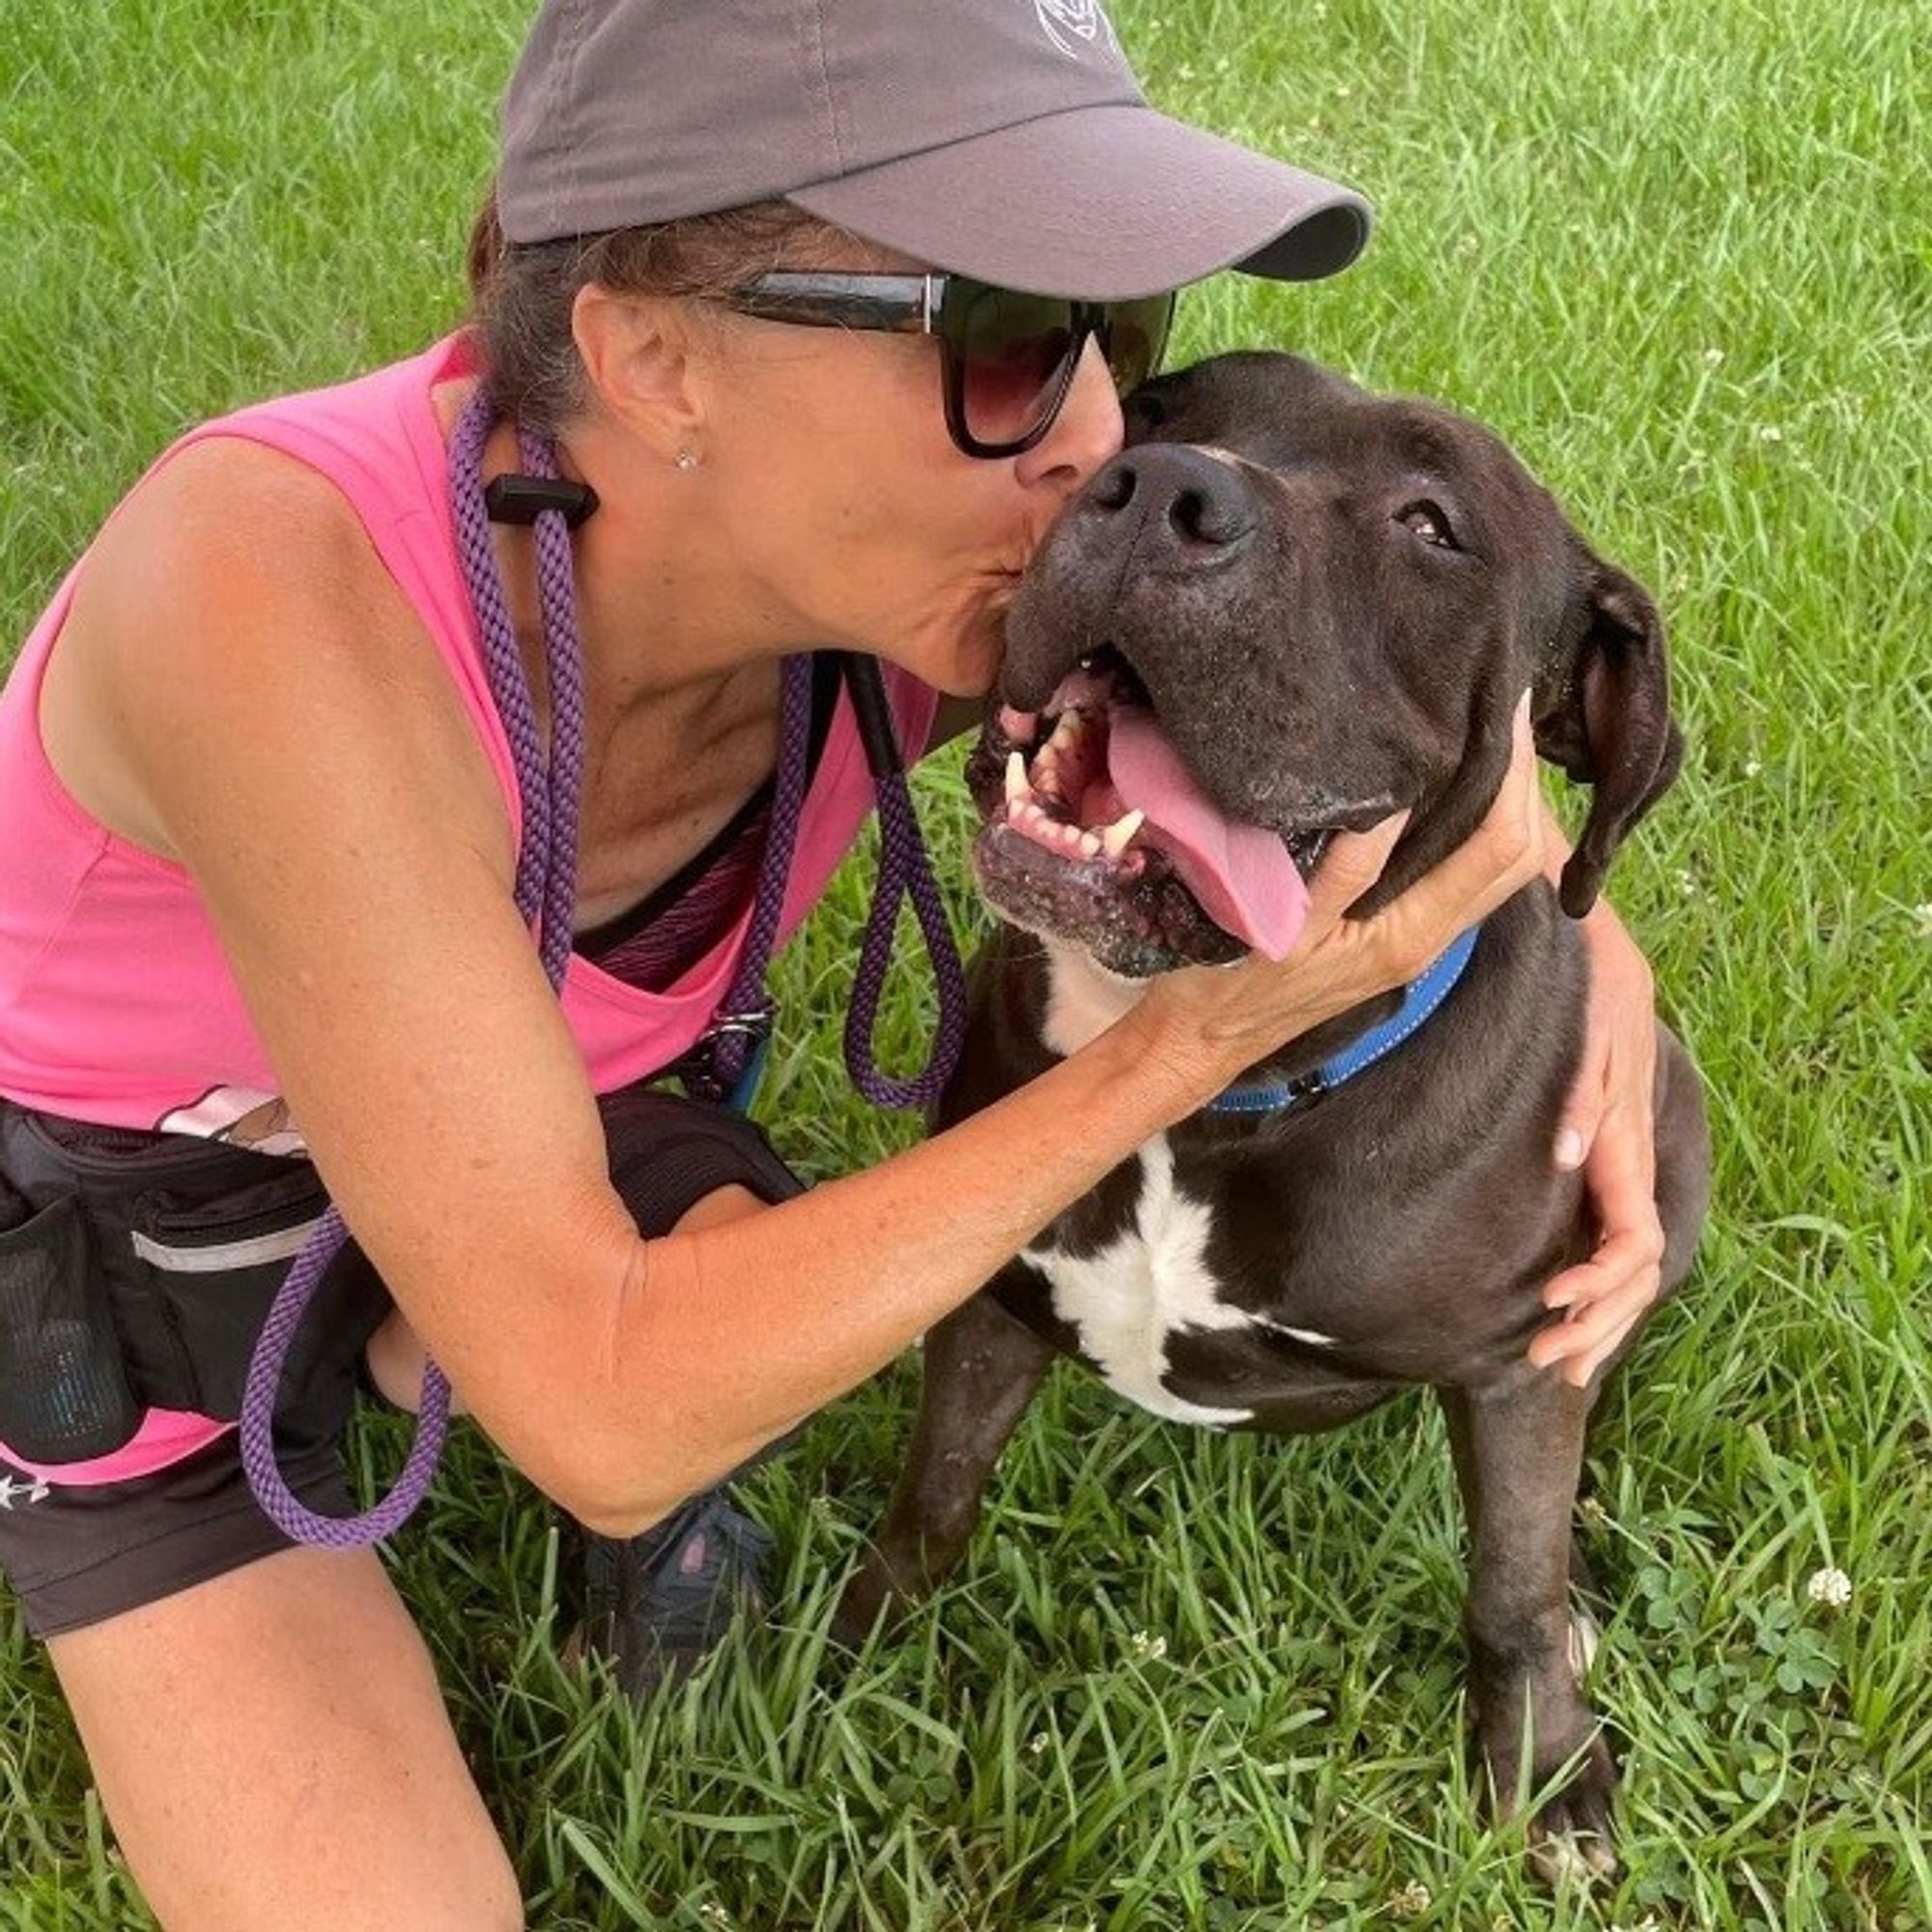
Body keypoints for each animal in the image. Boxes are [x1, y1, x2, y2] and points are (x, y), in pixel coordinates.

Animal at [838, 355, 1716, 1878]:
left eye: (1432, 524)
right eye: (1163, 406)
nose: (1157, 488)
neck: (1204, 1098)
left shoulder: (1519, 1367)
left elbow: (1514, 1586)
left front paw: (1545, 1771)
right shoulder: (994, 1299)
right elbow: (936, 1487)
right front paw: (853, 1639)